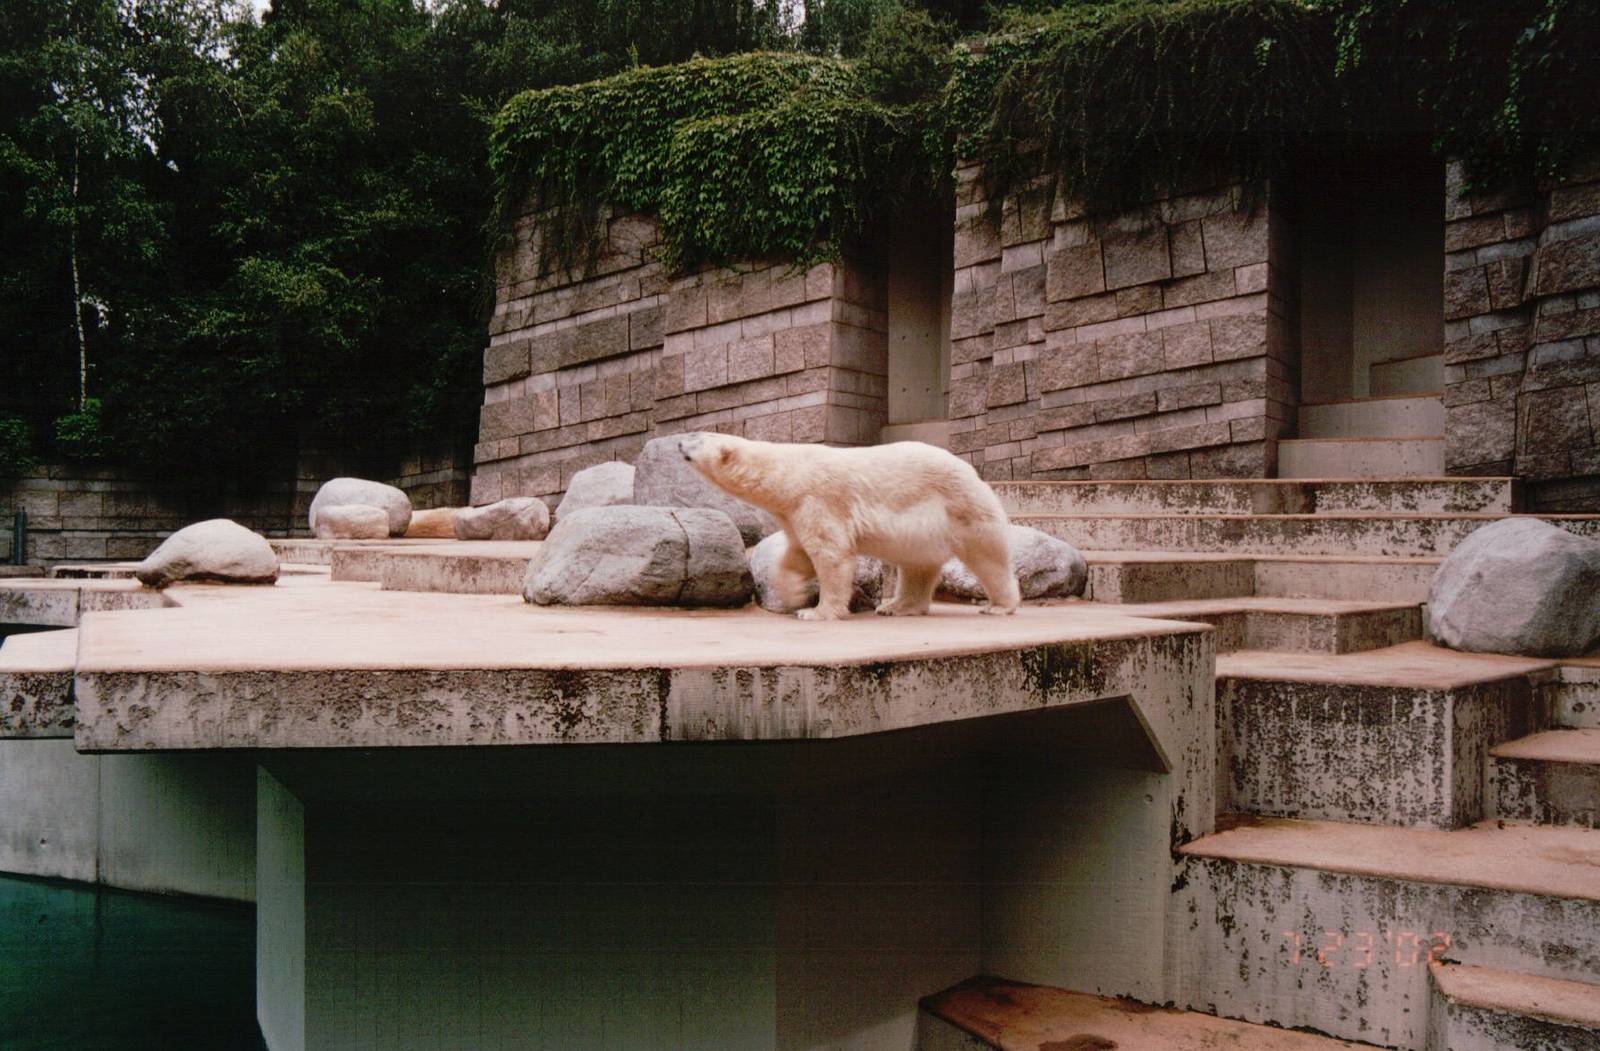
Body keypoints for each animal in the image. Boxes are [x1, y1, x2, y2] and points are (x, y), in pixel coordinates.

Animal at [680, 433, 1021, 620]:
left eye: (698, 438)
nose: (681, 442)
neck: (789, 473)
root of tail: (975, 474)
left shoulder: (817, 498)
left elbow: (831, 553)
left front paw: (816, 612)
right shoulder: (792, 512)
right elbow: (798, 554)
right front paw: (791, 592)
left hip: (962, 509)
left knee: (988, 558)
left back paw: (999, 606)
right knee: (916, 566)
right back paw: (897, 606)